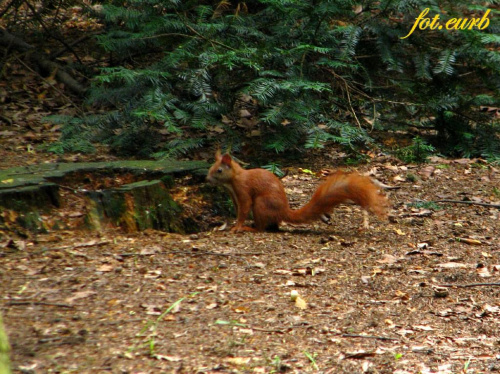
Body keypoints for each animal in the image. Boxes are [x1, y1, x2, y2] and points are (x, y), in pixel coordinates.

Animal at [205, 150, 388, 232]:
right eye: (210, 167)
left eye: (219, 170)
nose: (207, 179)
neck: (233, 180)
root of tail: (284, 211)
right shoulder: (234, 196)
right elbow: (238, 210)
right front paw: (234, 224)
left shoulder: (243, 190)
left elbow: (243, 209)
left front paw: (237, 227)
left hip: (261, 204)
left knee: (263, 227)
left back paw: (251, 228)